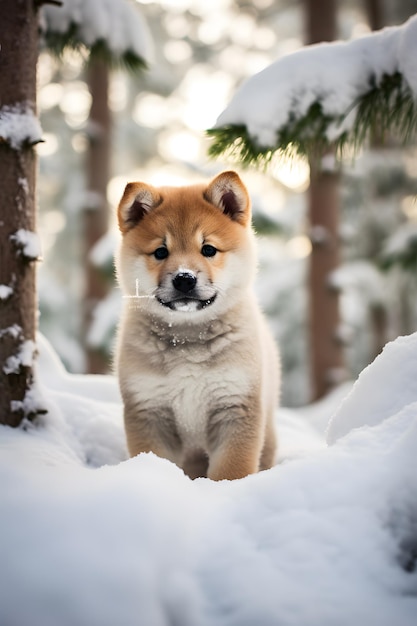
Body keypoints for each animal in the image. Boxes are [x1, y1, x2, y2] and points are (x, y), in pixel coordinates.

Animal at [114, 171, 280, 478]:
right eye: (160, 252)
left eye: (208, 249)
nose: (184, 278)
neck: (187, 337)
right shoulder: (149, 409)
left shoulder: (235, 406)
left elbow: (231, 471)